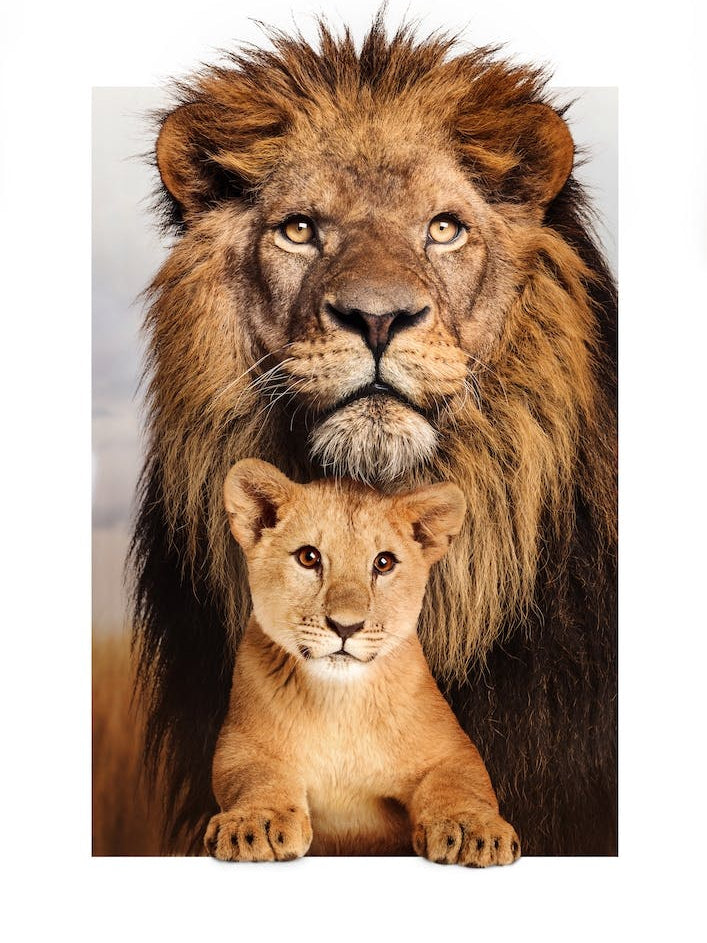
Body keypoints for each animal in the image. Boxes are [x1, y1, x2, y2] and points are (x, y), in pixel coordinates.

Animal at [206, 458, 520, 865]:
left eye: (383, 563)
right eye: (309, 557)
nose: (346, 626)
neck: (340, 702)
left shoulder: (451, 750)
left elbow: (460, 784)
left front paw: (473, 830)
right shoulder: (241, 745)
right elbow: (255, 777)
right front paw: (256, 824)